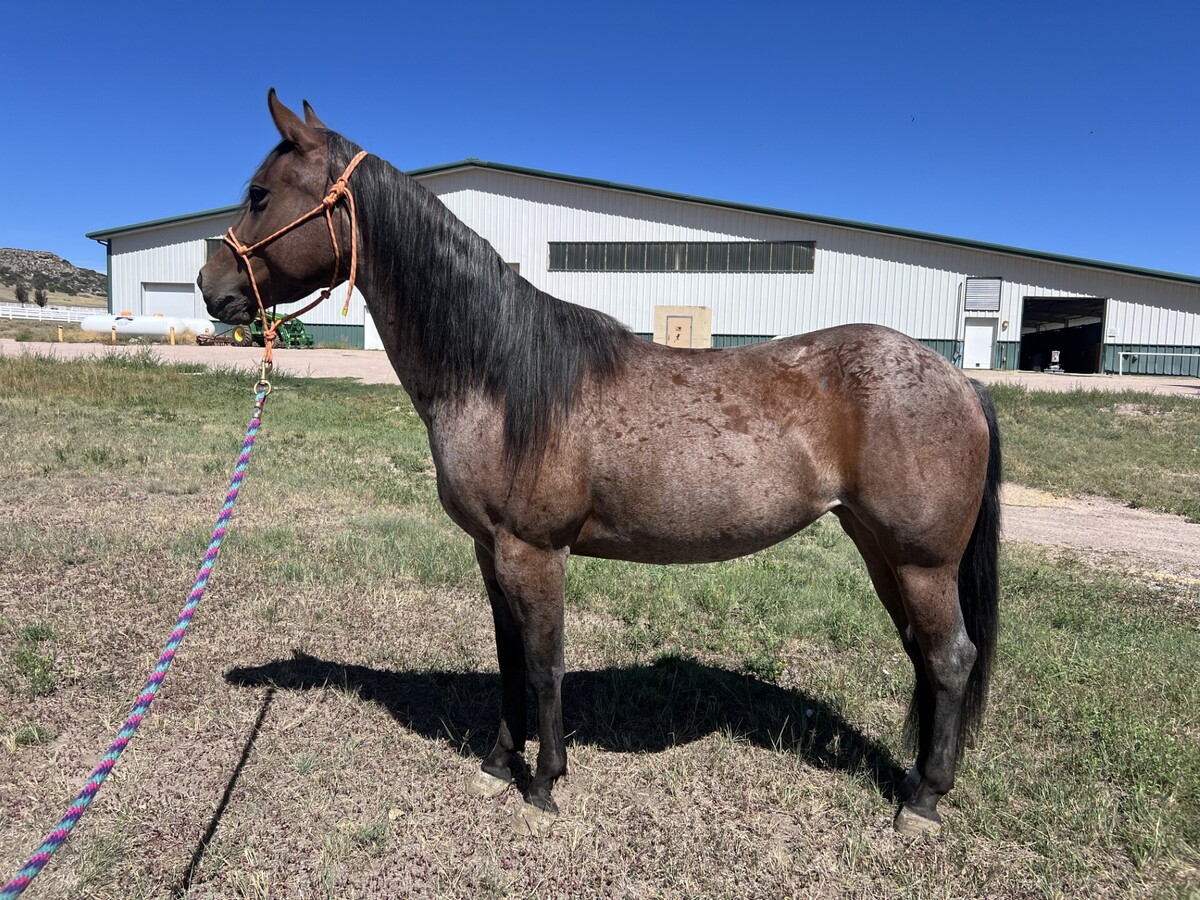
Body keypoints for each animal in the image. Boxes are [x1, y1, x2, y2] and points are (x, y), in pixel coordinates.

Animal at [198, 91, 1001, 838]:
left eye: (261, 194)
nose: (211, 287)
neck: (498, 376)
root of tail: (958, 378)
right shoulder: (491, 552)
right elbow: (510, 659)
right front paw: (499, 765)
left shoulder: (534, 551)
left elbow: (545, 662)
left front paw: (546, 782)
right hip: (881, 551)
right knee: (923, 657)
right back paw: (917, 780)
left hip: (922, 562)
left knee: (950, 659)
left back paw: (923, 801)